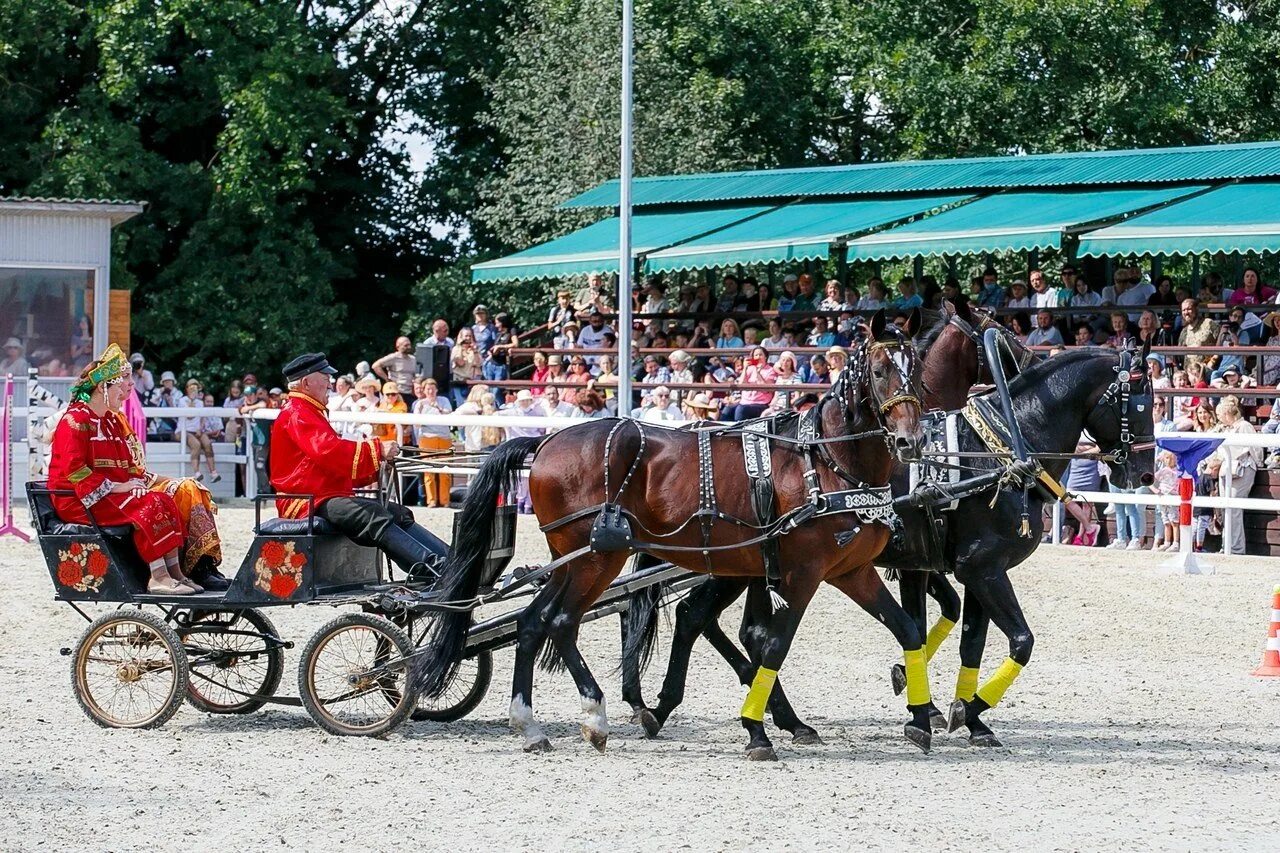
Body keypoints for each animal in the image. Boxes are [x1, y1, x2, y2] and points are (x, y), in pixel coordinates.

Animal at [417, 308, 931, 753]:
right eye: (880, 369)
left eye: (918, 370)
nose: (910, 440)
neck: (824, 459)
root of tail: (546, 442)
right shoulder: (801, 574)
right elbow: (774, 645)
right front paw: (756, 731)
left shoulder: (851, 571)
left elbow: (907, 629)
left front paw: (921, 720)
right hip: (596, 557)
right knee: (560, 621)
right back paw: (594, 715)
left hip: (580, 559)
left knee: (535, 621)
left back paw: (532, 725)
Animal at [624, 338, 1157, 742]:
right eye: (1140, 401)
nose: (1146, 471)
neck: (995, 450)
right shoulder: (979, 568)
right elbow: (1019, 640)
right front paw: (963, 709)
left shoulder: (974, 569)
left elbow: (969, 639)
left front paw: (963, 713)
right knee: (699, 618)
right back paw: (678, 706)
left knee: (711, 622)